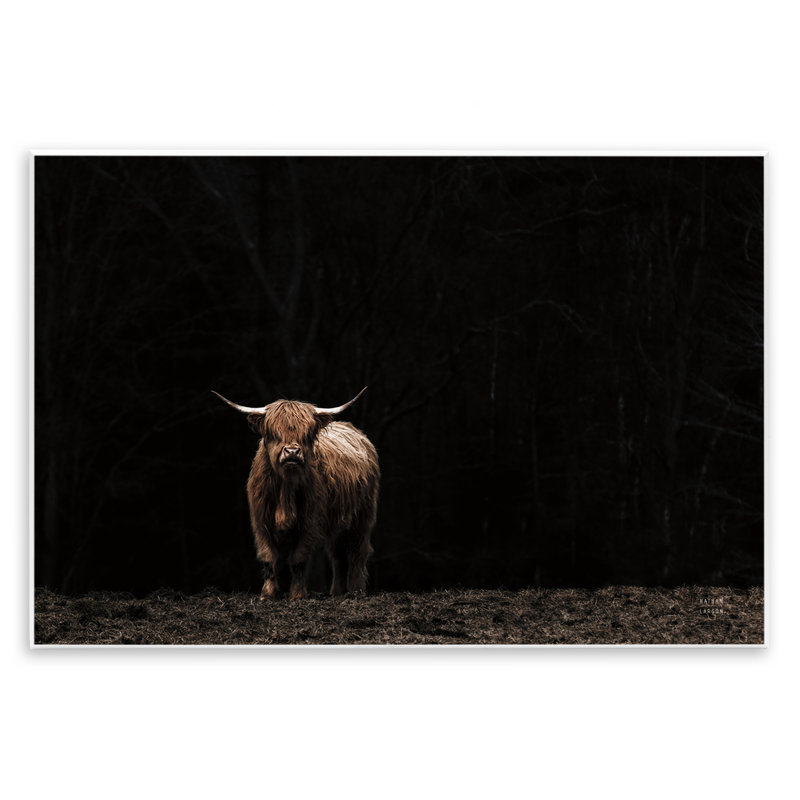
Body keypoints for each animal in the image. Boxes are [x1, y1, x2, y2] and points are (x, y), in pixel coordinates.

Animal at [213, 386, 379, 600]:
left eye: (307, 434)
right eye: (273, 433)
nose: (292, 452)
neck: (286, 489)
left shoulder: (309, 521)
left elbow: (299, 559)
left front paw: (297, 595)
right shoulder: (260, 520)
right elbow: (268, 558)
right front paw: (267, 594)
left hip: (363, 515)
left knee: (358, 551)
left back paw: (356, 590)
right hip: (338, 522)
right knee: (338, 555)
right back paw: (336, 592)